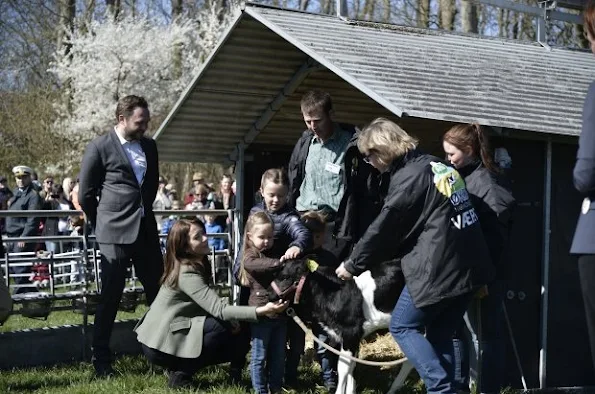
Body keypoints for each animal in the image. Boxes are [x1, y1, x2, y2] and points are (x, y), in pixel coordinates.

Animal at [270, 258, 410, 394]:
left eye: (285, 277)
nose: (268, 295)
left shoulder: (350, 332)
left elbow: (343, 366)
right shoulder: (353, 336)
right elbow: (352, 365)